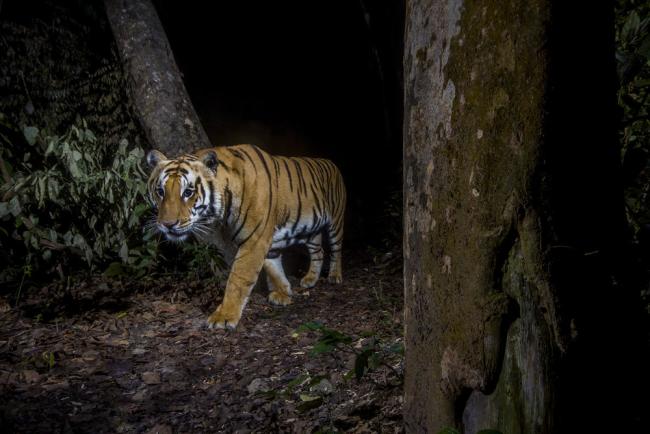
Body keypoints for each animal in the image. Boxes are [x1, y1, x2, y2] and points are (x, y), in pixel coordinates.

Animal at [146, 145, 346, 328]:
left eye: (188, 192)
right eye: (160, 192)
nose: (167, 224)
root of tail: (331, 163)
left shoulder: (254, 240)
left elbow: (238, 279)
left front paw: (224, 316)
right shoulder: (267, 242)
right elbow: (273, 267)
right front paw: (283, 293)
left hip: (335, 220)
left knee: (336, 249)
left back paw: (335, 276)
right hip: (310, 230)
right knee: (318, 251)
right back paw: (310, 279)